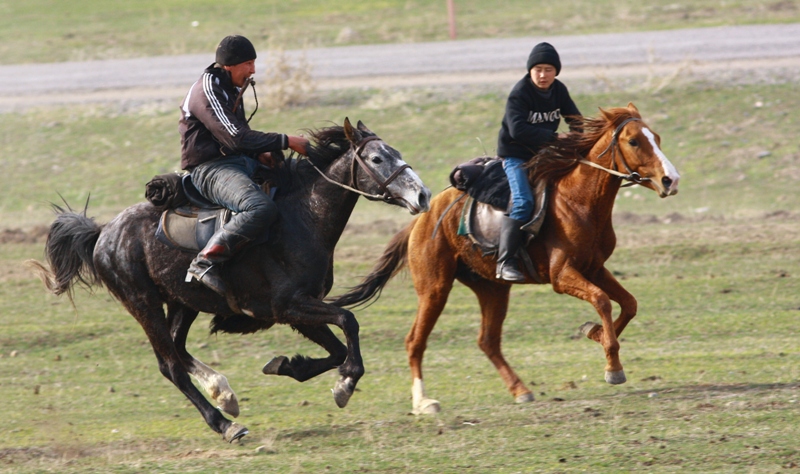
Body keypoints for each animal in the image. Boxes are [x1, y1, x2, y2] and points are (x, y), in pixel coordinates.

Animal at [332, 104, 680, 414]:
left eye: (657, 137)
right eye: (633, 141)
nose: (671, 180)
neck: (578, 201)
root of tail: (421, 218)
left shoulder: (594, 268)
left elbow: (628, 304)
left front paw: (595, 333)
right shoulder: (562, 276)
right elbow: (603, 301)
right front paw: (612, 366)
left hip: (493, 289)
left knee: (488, 341)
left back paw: (520, 389)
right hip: (434, 289)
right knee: (415, 341)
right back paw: (423, 403)